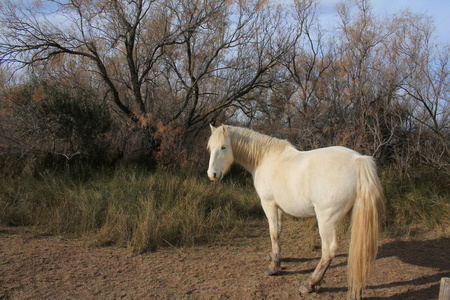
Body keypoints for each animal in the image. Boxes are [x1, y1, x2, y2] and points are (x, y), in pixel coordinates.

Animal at [207, 123, 384, 298]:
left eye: (223, 147)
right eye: (210, 148)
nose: (212, 175)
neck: (265, 158)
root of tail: (358, 160)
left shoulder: (269, 204)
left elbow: (273, 232)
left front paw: (273, 268)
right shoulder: (278, 207)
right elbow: (278, 232)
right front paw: (274, 257)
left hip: (326, 219)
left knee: (329, 250)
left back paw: (309, 284)